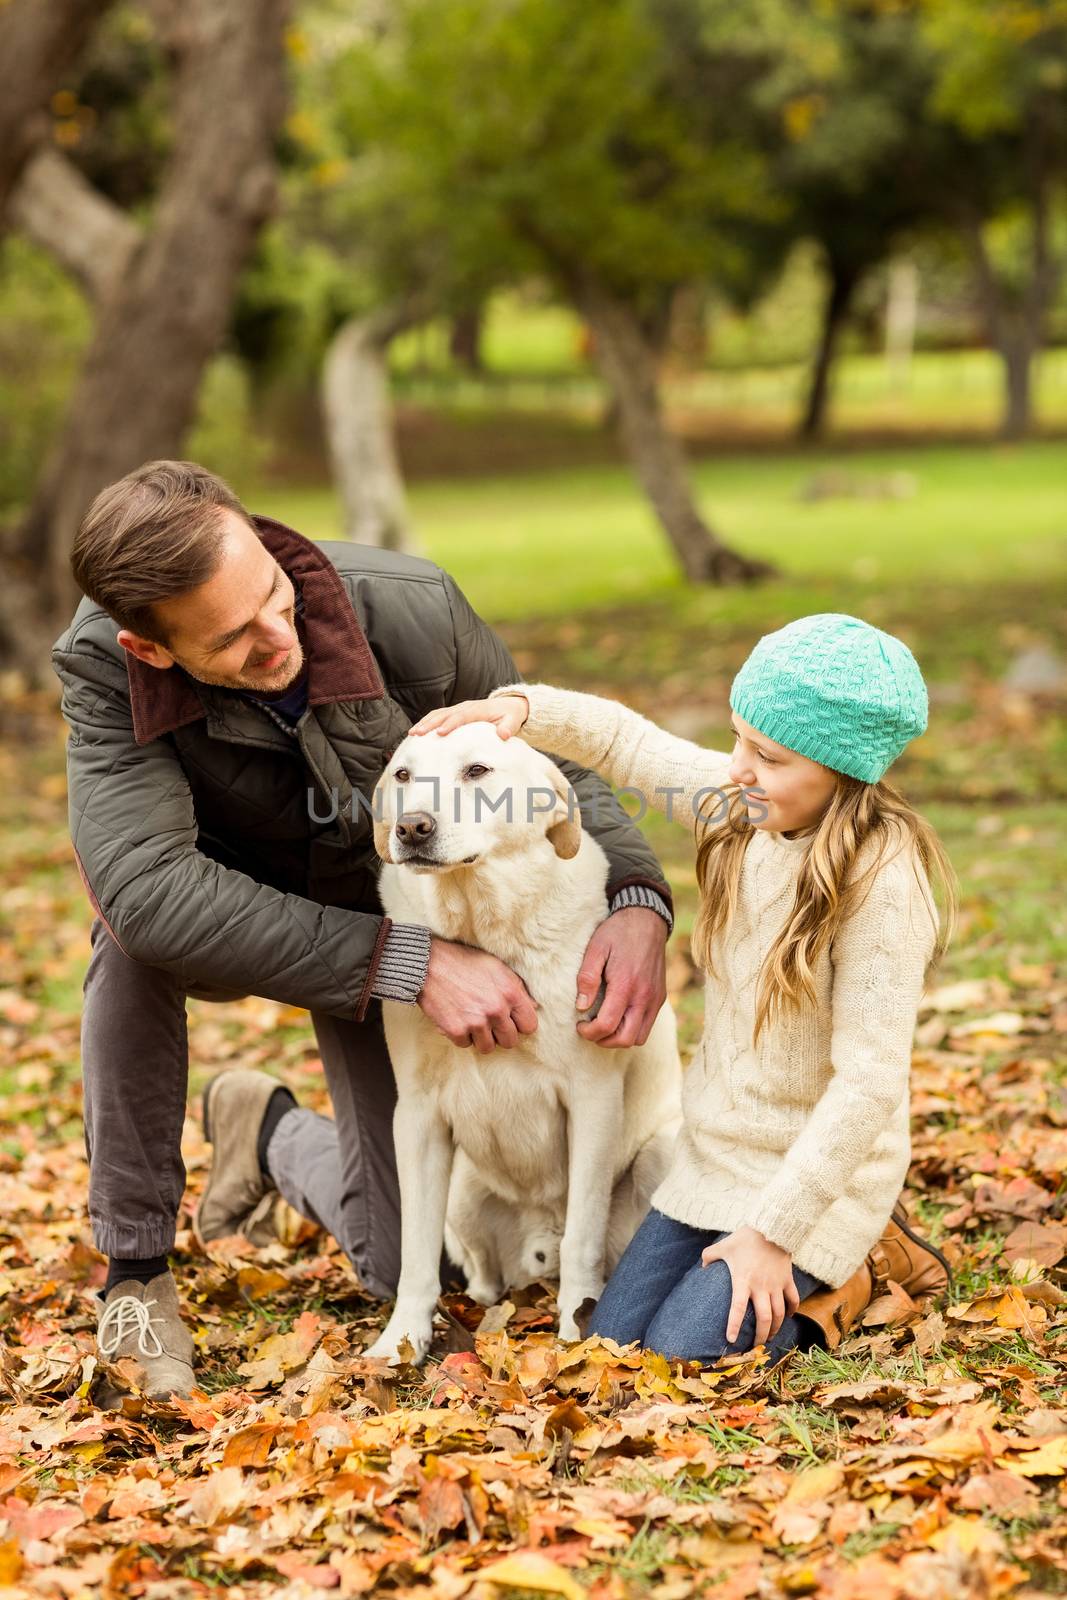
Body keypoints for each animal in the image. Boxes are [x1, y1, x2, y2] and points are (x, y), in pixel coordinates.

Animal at [367, 726, 681, 1363]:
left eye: (477, 770)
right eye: (404, 775)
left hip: (662, 1155)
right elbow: (415, 1256)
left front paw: (577, 1340)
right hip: (462, 1194)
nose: (411, 828)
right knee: (484, 1275)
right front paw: (401, 1341)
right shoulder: (417, 1117)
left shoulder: (591, 1100)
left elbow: (583, 1240)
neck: (486, 933)